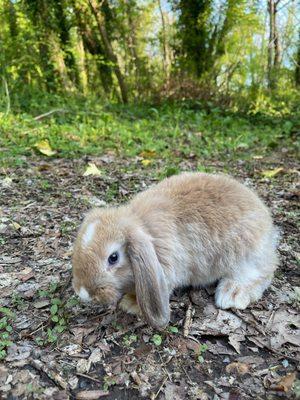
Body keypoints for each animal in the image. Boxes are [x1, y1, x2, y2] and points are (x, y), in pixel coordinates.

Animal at [72, 173, 278, 330]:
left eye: (113, 258)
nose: (83, 293)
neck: (144, 228)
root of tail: (266, 219)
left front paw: (130, 305)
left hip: (246, 253)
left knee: (262, 271)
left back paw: (231, 294)